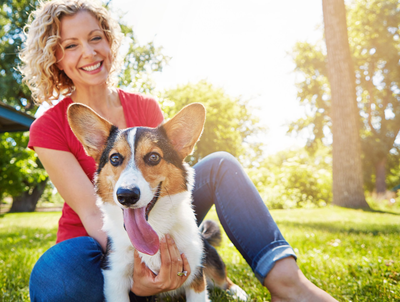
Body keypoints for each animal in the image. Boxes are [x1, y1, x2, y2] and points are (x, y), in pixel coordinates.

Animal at [66, 102, 247, 300]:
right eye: (115, 158)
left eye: (154, 157)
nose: (126, 195)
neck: (154, 228)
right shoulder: (115, 279)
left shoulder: (195, 275)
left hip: (209, 259)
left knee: (222, 278)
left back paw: (237, 292)